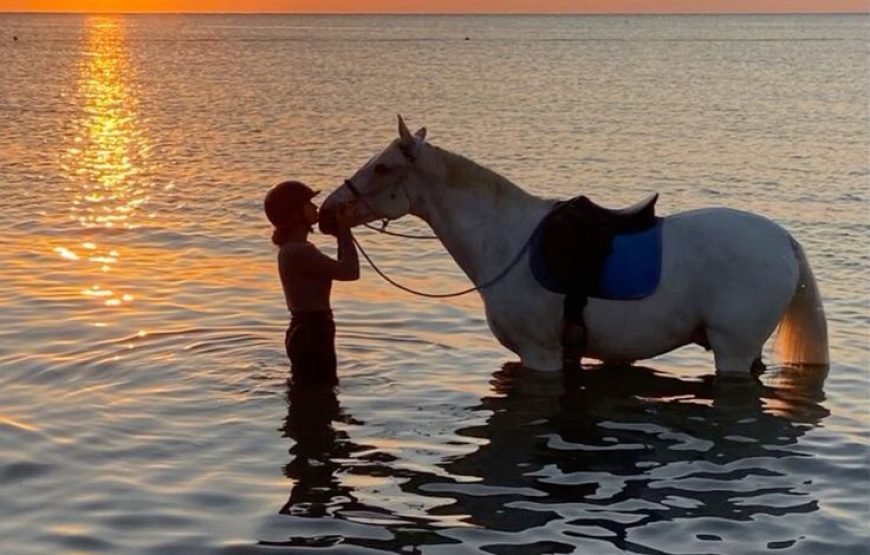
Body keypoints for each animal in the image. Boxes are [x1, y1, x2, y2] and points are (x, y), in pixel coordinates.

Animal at [319, 116, 828, 374]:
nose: (326, 213)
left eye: (382, 167)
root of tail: (783, 240)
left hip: (733, 351)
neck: (506, 239)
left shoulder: (539, 354)